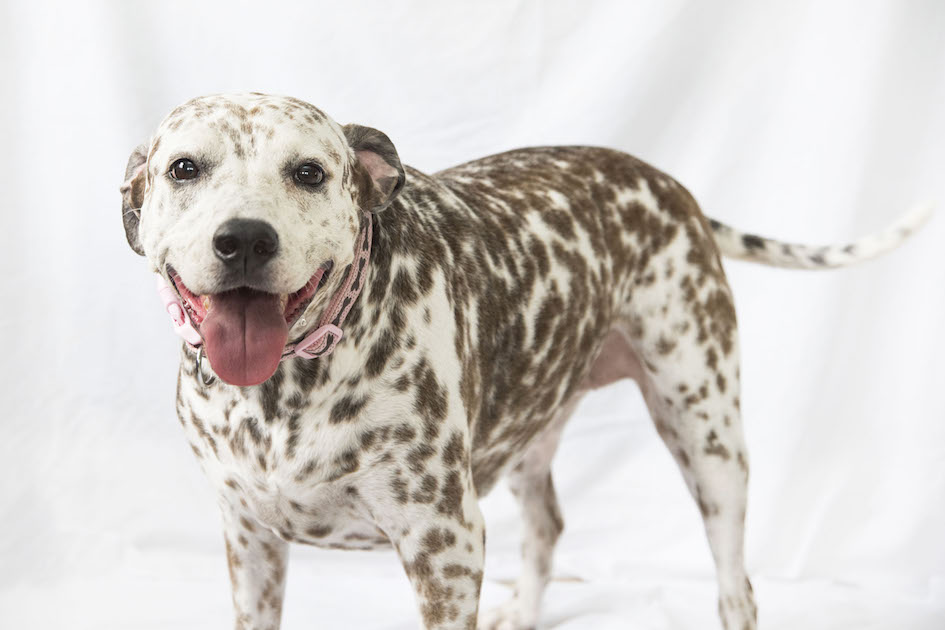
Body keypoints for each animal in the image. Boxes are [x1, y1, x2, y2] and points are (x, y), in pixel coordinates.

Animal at [120, 91, 928, 628]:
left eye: (309, 173)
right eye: (184, 168)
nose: (244, 239)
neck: (282, 391)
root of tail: (669, 185)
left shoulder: (444, 545)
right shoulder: (249, 542)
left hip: (707, 436)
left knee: (736, 584)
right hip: (529, 429)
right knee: (547, 526)